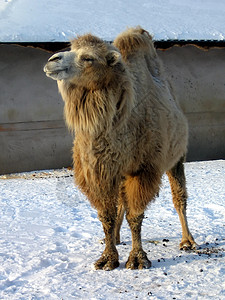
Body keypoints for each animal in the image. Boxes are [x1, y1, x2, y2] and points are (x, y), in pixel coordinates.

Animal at [43, 26, 195, 270]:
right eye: (72, 49)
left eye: (88, 58)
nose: (52, 60)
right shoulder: (101, 171)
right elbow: (107, 215)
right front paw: (107, 258)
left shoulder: (143, 170)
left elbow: (136, 215)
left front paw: (138, 259)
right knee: (121, 205)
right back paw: (114, 238)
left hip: (177, 157)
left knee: (179, 198)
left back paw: (188, 241)